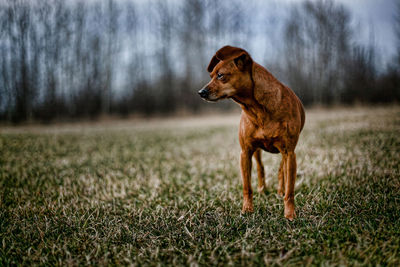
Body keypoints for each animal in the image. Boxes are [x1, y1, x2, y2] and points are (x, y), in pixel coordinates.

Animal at [198, 46, 304, 222]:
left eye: (220, 75)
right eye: (211, 75)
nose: (201, 92)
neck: (258, 109)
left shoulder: (289, 152)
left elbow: (290, 189)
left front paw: (289, 214)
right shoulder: (245, 152)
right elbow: (247, 186)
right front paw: (247, 210)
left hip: (286, 154)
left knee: (282, 171)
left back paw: (279, 191)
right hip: (257, 151)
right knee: (261, 168)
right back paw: (262, 190)